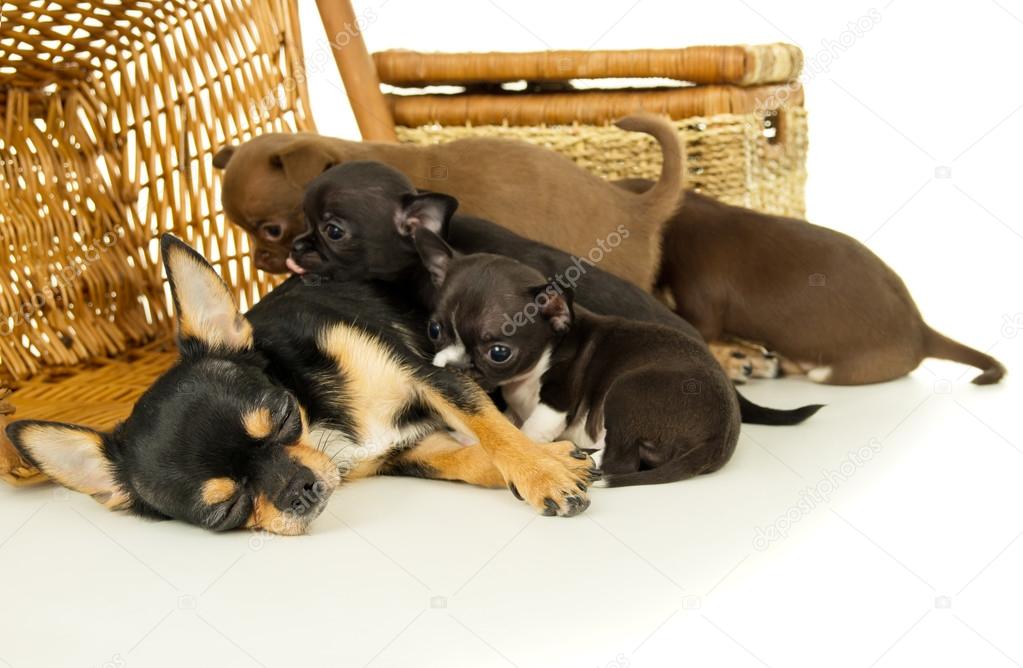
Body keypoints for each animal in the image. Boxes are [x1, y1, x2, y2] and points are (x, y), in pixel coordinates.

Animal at [3, 234, 597, 531]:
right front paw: (551, 465)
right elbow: (468, 459)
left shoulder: (429, 374)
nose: (300, 488)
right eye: (224, 510)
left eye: (284, 414)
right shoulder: (408, 452)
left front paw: (542, 470)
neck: (324, 423)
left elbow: (486, 423)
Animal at [411, 228, 740, 484]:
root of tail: (719, 438)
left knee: (618, 461)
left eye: (499, 353)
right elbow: (503, 423)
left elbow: (526, 433)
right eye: (434, 329)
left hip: (626, 391)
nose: (452, 366)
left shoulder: (555, 405)